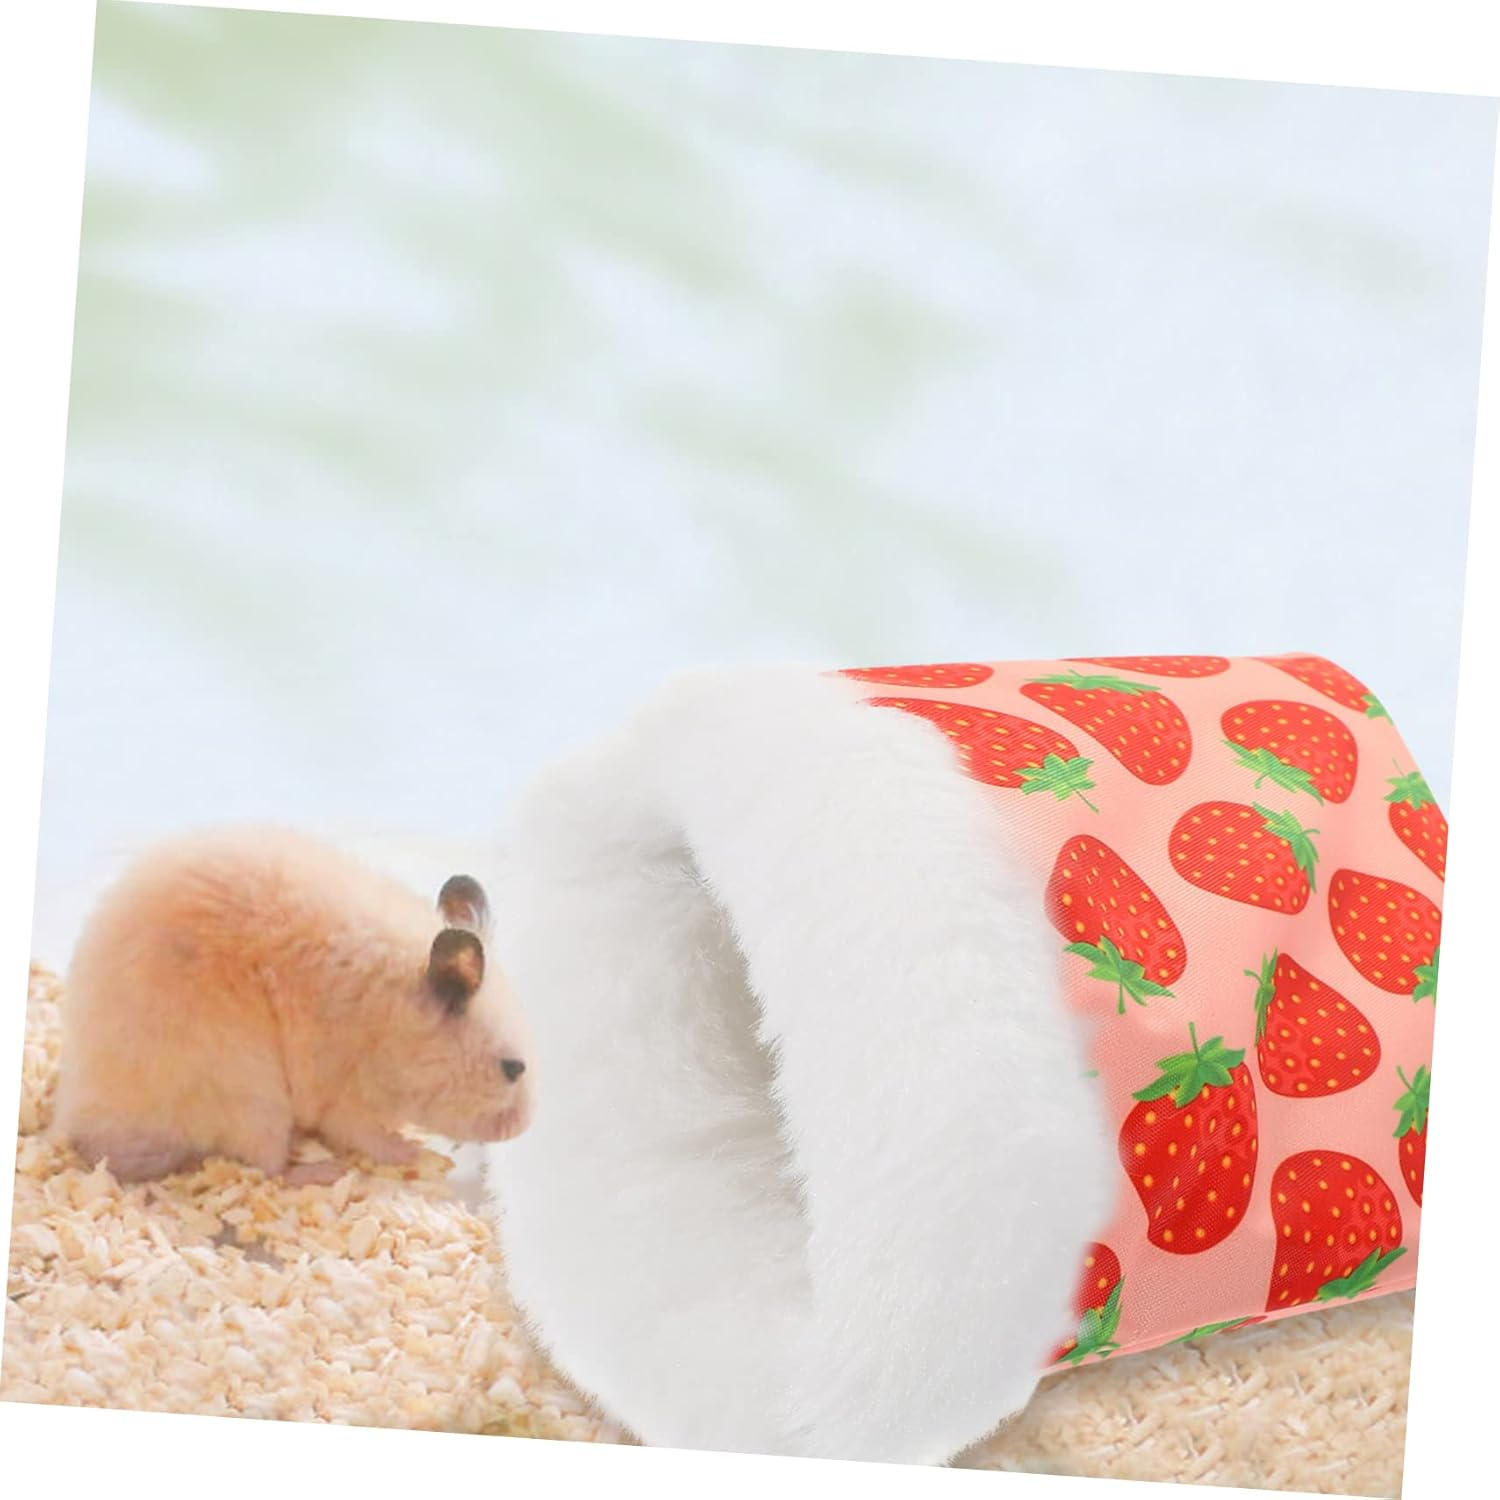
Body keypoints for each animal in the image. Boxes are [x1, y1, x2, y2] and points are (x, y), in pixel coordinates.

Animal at [52, 825, 535, 1185]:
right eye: (512, 1068)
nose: (521, 1129)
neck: (395, 1021)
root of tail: (81, 1122)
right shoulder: (346, 1094)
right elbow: (368, 1136)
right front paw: (414, 1151)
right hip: (249, 1093)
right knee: (268, 1166)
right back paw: (324, 1171)